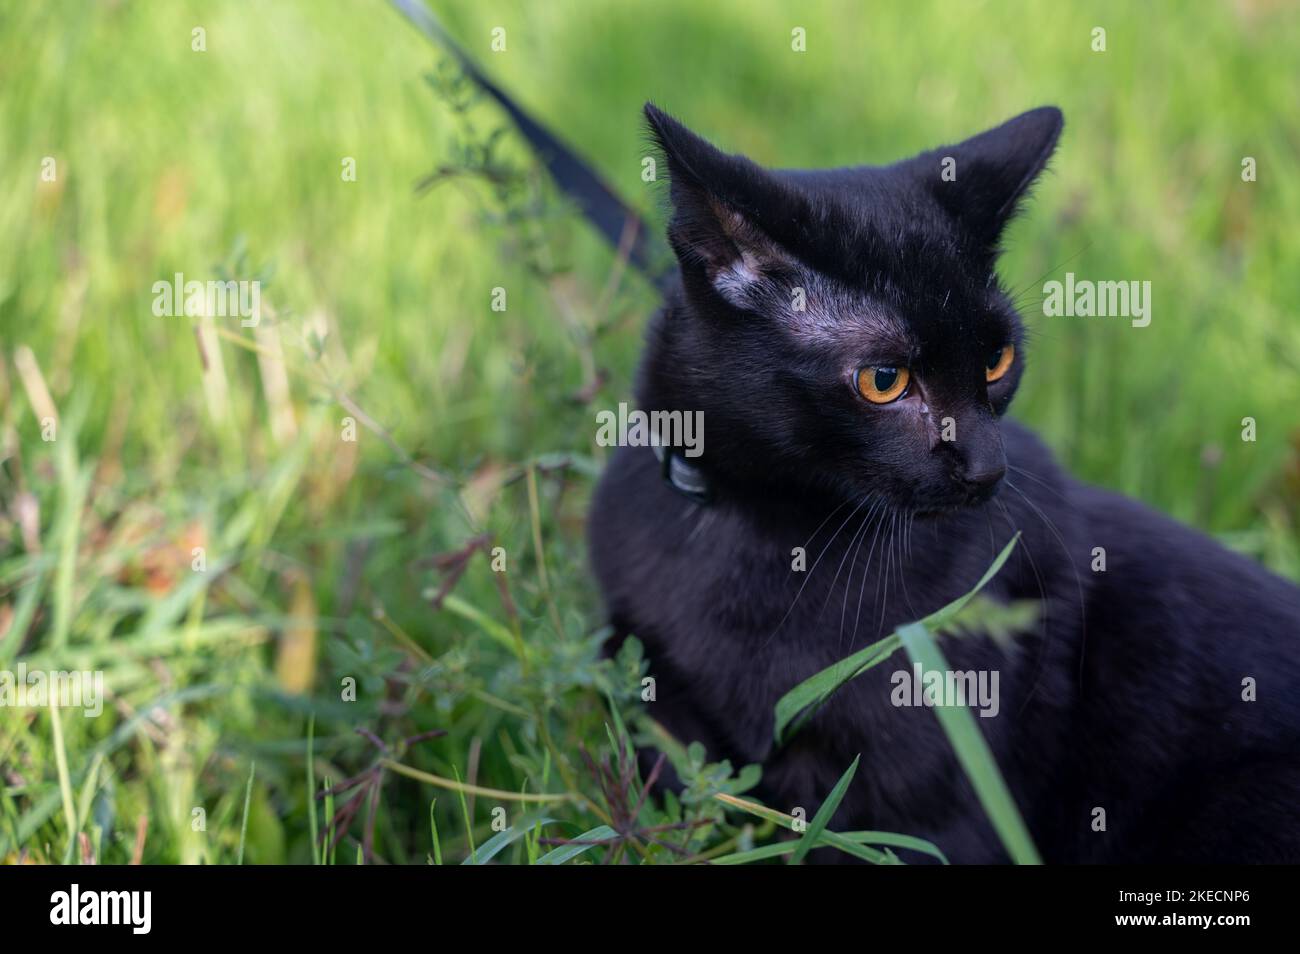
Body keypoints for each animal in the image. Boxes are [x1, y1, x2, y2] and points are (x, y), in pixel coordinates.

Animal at [585, 104, 1294, 868]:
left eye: (997, 360)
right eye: (884, 380)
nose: (988, 468)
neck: (765, 527)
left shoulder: (935, 802)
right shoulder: (648, 683)